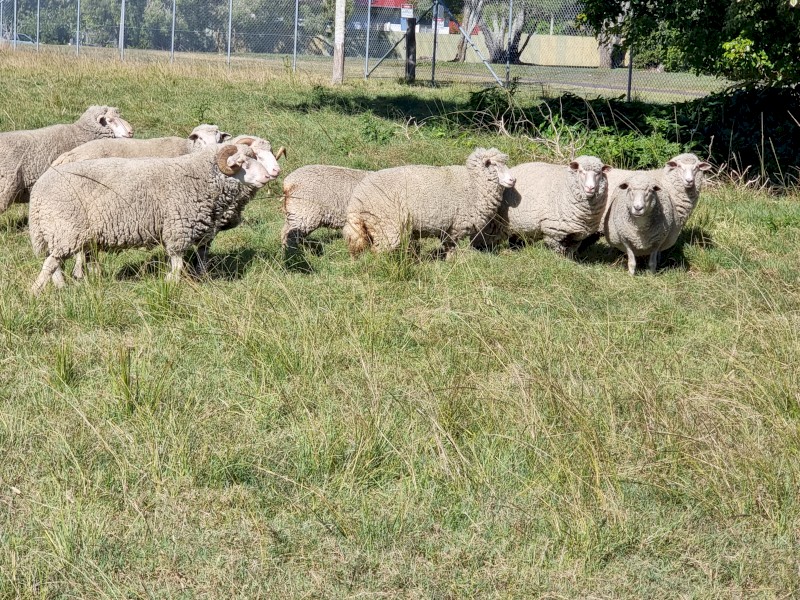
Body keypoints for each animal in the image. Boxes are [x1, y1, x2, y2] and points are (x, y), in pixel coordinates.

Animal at [28, 144, 270, 294]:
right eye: (242, 162)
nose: (268, 176)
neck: (197, 176)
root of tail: (38, 192)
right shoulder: (177, 228)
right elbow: (177, 260)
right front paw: (171, 282)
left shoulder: (200, 230)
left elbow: (200, 257)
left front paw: (200, 278)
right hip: (66, 229)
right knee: (51, 263)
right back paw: (37, 291)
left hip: (60, 232)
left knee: (55, 262)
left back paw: (62, 286)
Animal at [342, 148, 515, 258]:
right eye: (493, 165)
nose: (513, 180)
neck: (475, 183)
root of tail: (356, 200)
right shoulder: (456, 226)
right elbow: (451, 248)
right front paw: (452, 263)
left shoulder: (449, 228)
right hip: (387, 224)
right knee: (379, 252)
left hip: (370, 226)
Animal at [474, 155, 611, 257]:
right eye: (581, 172)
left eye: (599, 173)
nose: (590, 188)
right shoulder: (554, 231)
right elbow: (558, 250)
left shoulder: (576, 234)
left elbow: (570, 251)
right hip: (495, 221)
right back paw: (481, 249)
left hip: (520, 224)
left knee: (516, 240)